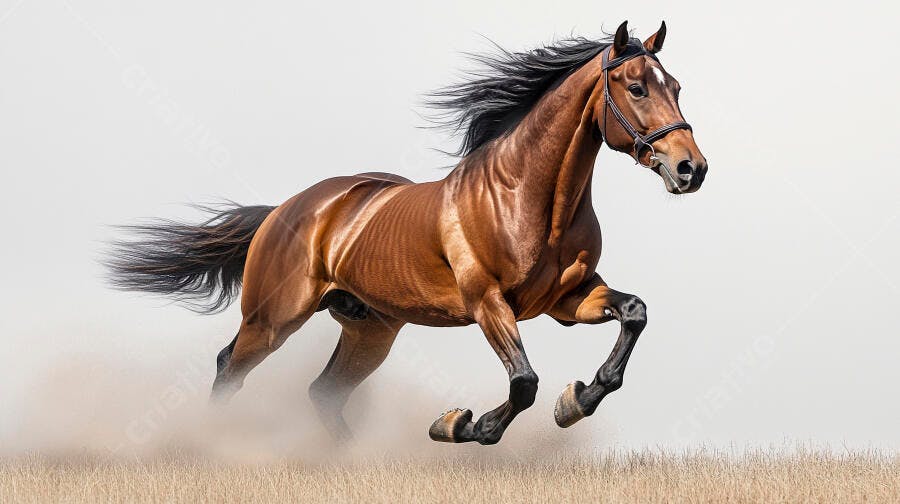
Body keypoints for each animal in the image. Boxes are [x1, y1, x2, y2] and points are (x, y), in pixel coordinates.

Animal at [107, 21, 707, 445]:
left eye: (676, 86)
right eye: (636, 87)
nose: (691, 169)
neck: (528, 198)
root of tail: (288, 210)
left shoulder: (568, 298)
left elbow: (634, 314)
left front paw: (576, 401)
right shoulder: (488, 302)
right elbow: (523, 383)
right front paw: (462, 425)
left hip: (369, 329)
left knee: (324, 393)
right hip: (272, 319)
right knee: (228, 370)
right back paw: (211, 443)